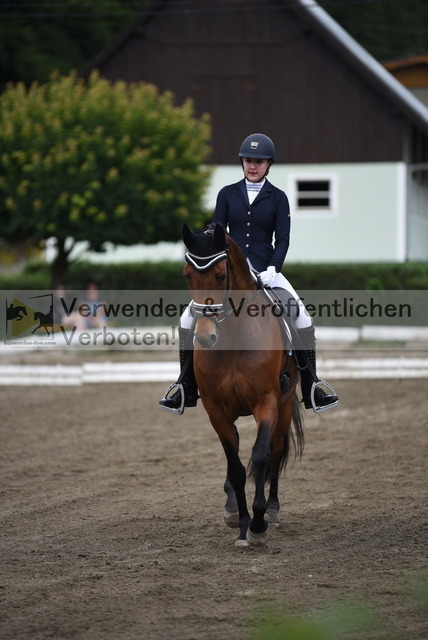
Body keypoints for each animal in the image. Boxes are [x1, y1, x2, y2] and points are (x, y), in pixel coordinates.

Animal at [182, 223, 304, 547]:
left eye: (221, 276)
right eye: (187, 275)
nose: (205, 337)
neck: (234, 335)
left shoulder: (267, 402)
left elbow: (261, 456)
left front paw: (259, 523)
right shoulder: (216, 410)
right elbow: (235, 467)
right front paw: (242, 523)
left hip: (284, 405)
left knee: (276, 451)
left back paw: (272, 510)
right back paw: (232, 508)